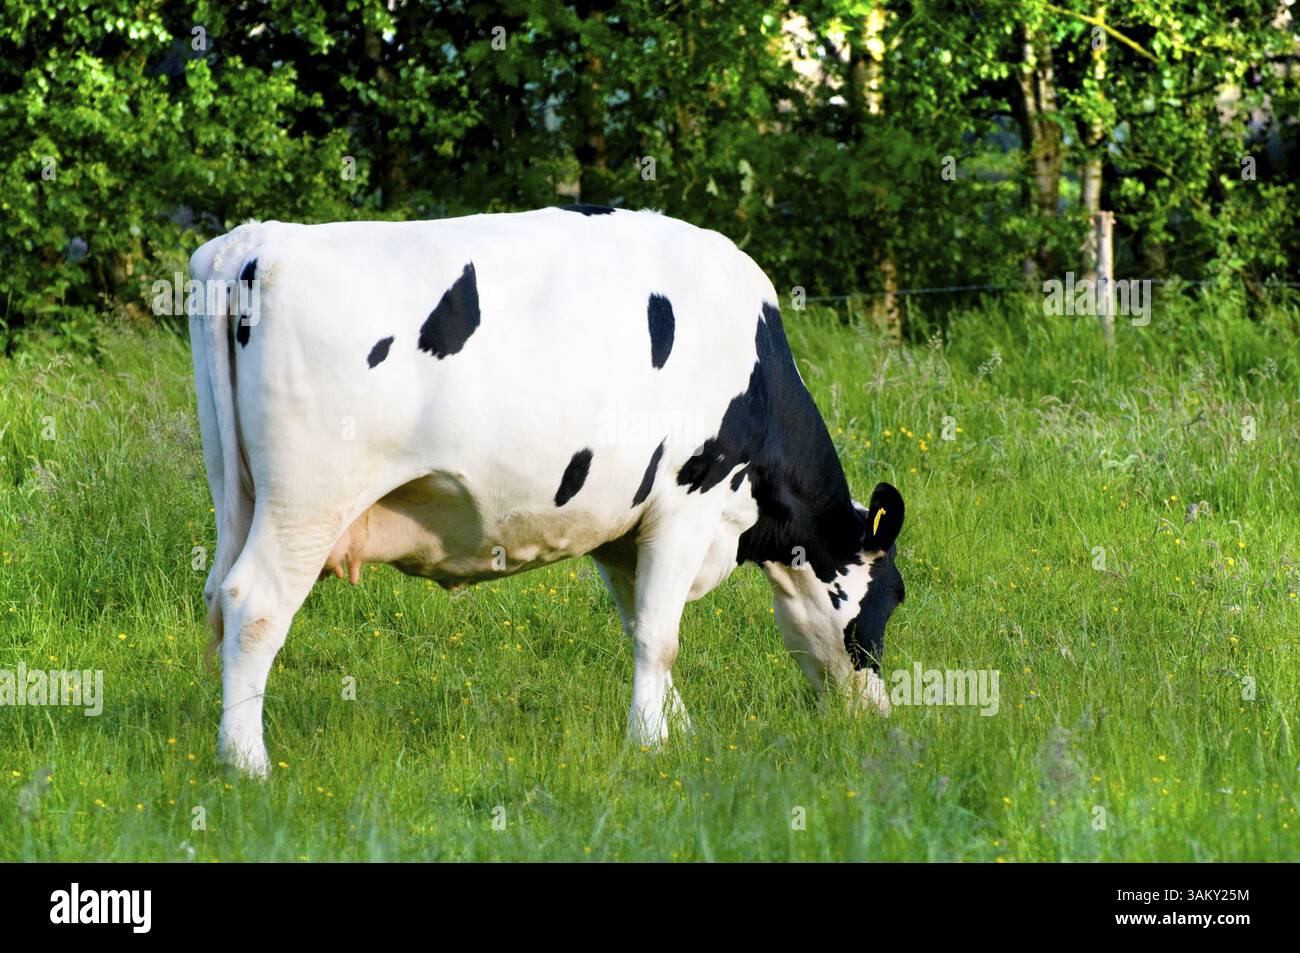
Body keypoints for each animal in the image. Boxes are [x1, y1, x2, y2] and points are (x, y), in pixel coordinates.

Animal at [188, 206, 906, 777]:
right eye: (893, 596)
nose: (877, 715)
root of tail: (257, 241)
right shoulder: (687, 503)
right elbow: (661, 635)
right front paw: (650, 744)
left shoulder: (625, 528)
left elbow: (640, 623)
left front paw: (675, 728)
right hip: (307, 502)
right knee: (254, 604)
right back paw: (247, 762)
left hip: (237, 492)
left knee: (218, 594)